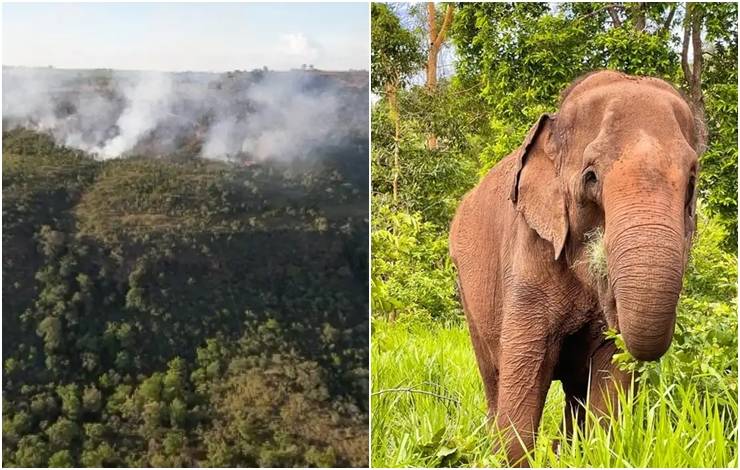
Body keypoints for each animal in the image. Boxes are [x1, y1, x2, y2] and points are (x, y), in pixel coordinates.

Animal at [448, 70, 704, 466]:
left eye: (692, 181)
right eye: (591, 177)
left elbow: (611, 373)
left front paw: (593, 453)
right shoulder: (529, 247)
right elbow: (526, 363)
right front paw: (511, 459)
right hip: (467, 289)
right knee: (493, 373)